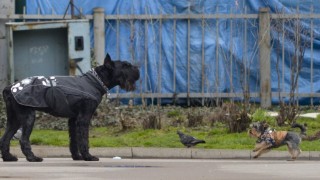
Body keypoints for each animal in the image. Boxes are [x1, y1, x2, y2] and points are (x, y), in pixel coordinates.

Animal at [0, 53, 139, 162]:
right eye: (125, 65)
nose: (138, 70)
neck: (95, 81)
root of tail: (10, 87)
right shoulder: (83, 119)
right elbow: (83, 139)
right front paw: (88, 156)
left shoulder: (73, 120)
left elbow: (74, 140)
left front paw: (77, 156)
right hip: (28, 117)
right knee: (23, 140)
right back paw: (32, 158)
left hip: (14, 120)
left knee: (5, 138)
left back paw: (8, 157)